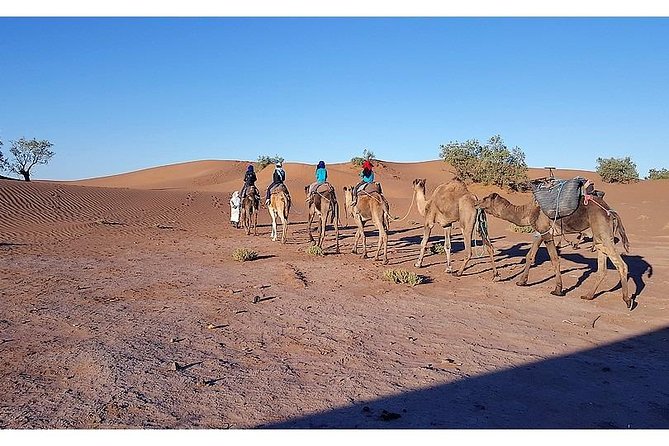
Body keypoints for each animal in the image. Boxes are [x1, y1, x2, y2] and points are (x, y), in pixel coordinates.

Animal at [476, 192, 632, 309]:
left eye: (485, 198)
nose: (476, 203)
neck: (528, 211)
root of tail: (611, 211)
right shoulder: (540, 233)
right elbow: (530, 256)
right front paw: (522, 282)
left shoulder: (547, 234)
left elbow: (554, 259)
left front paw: (558, 290)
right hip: (600, 236)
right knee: (602, 267)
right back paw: (588, 296)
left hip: (602, 231)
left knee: (621, 264)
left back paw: (627, 300)